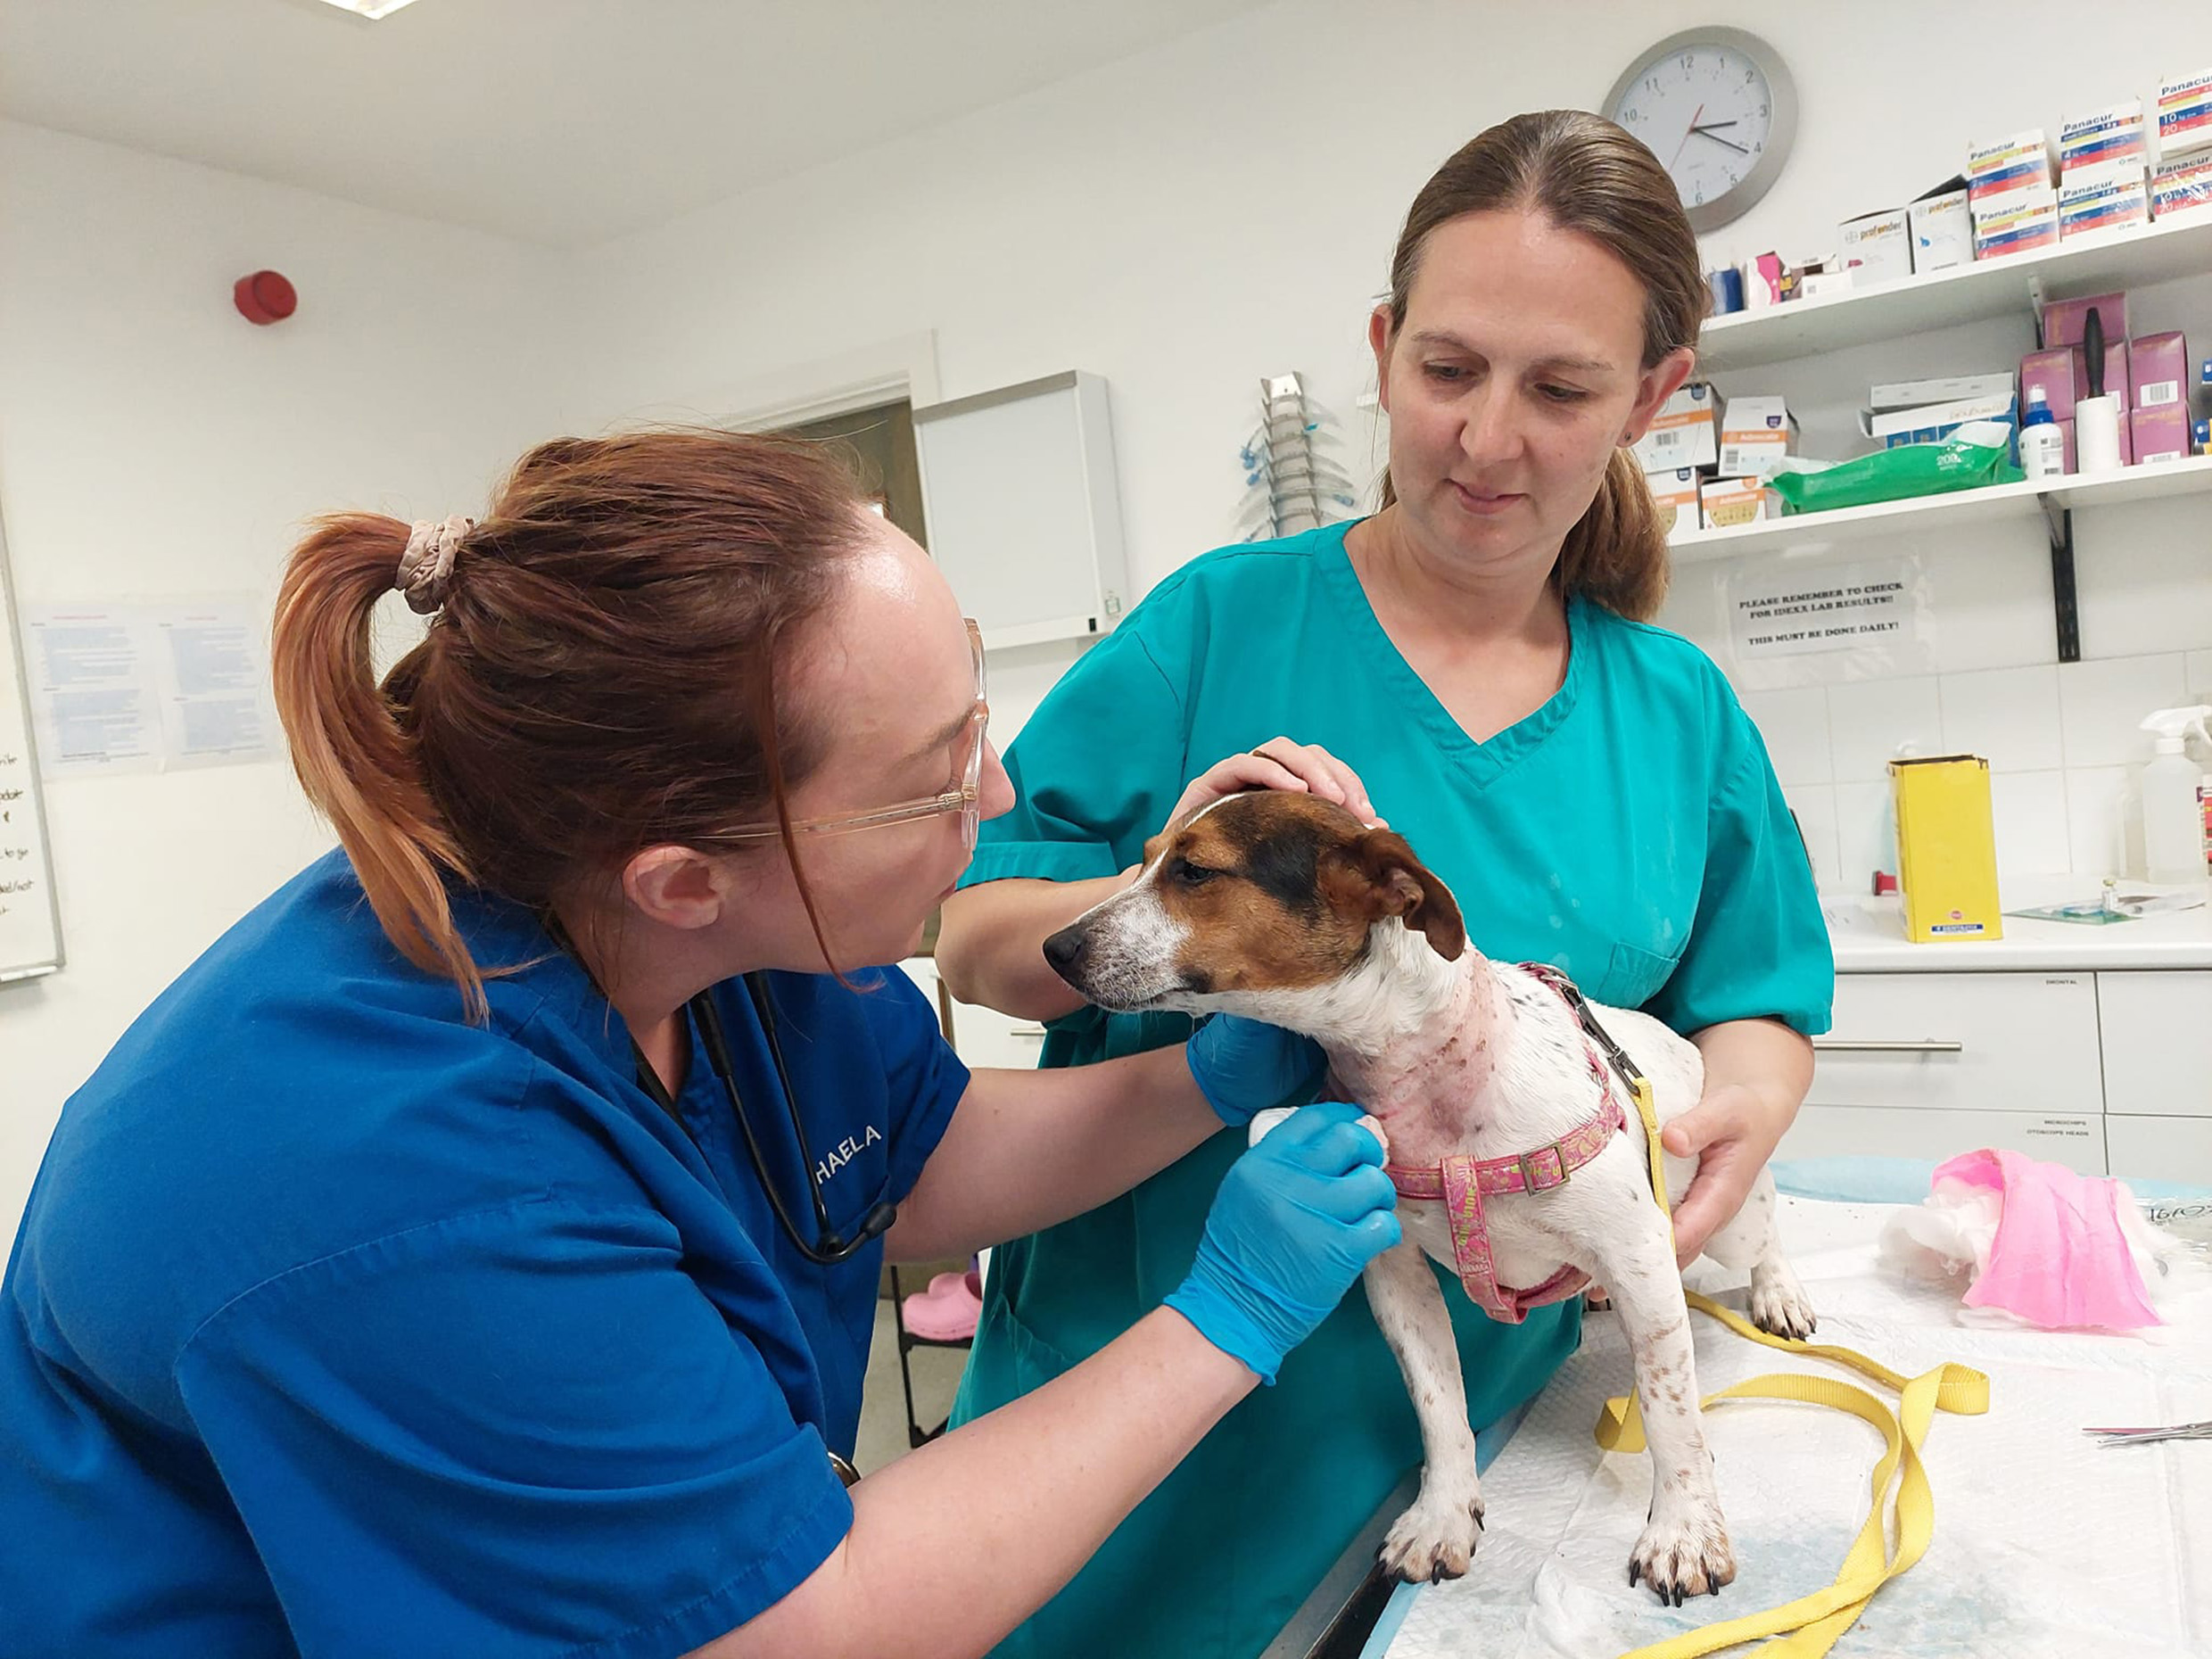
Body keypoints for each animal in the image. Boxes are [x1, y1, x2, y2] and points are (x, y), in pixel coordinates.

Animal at [1035, 791, 1813, 1610]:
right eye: (1146, 857)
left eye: (1194, 871)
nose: (1054, 948)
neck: (1433, 1082)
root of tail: (1674, 1038)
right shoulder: (1396, 1278)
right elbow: (1440, 1407)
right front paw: (1444, 1513)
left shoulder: (1641, 1263)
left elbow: (1671, 1414)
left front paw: (1684, 1529)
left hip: (1725, 1217)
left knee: (1765, 1227)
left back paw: (1780, 1294)